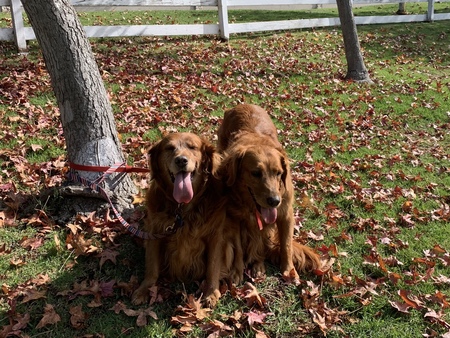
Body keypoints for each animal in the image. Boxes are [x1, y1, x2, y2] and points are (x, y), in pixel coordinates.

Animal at [132, 132, 243, 306]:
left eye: (192, 147)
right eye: (169, 148)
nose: (181, 160)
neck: (182, 208)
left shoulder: (215, 235)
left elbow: (213, 266)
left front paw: (211, 292)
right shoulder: (154, 232)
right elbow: (152, 266)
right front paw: (144, 289)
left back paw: (237, 271)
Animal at [218, 104, 320, 282]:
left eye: (279, 173)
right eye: (256, 173)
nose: (274, 201)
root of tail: (244, 104)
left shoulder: (286, 213)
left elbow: (286, 245)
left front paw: (289, 270)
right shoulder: (235, 219)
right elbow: (238, 248)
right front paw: (237, 271)